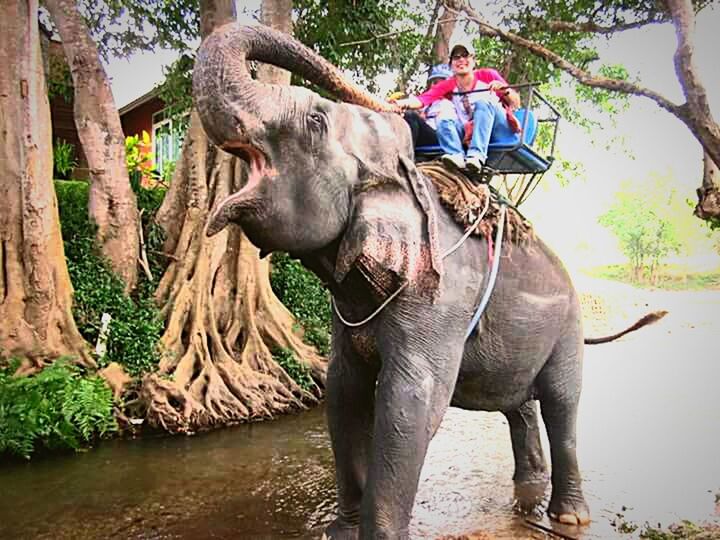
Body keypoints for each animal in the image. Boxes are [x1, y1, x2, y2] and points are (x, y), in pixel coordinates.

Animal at [194, 23, 668, 536]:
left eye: (315, 122)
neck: (407, 177)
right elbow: (343, 391)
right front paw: (340, 531)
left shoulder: (441, 299)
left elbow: (410, 400)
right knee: (519, 406)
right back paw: (529, 494)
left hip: (568, 325)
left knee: (562, 401)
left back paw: (568, 515)